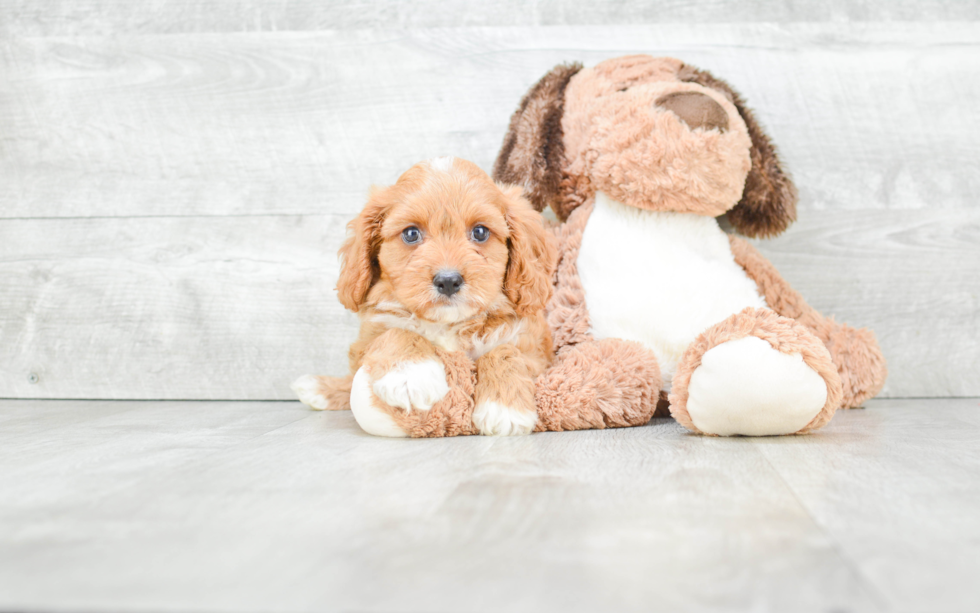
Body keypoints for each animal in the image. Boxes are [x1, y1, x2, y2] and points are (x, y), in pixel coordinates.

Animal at [290, 157, 556, 436]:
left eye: (481, 232)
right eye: (411, 233)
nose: (448, 281)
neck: (448, 323)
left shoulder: (535, 351)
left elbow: (504, 350)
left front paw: (505, 407)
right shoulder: (368, 338)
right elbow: (397, 333)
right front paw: (411, 375)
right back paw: (319, 387)